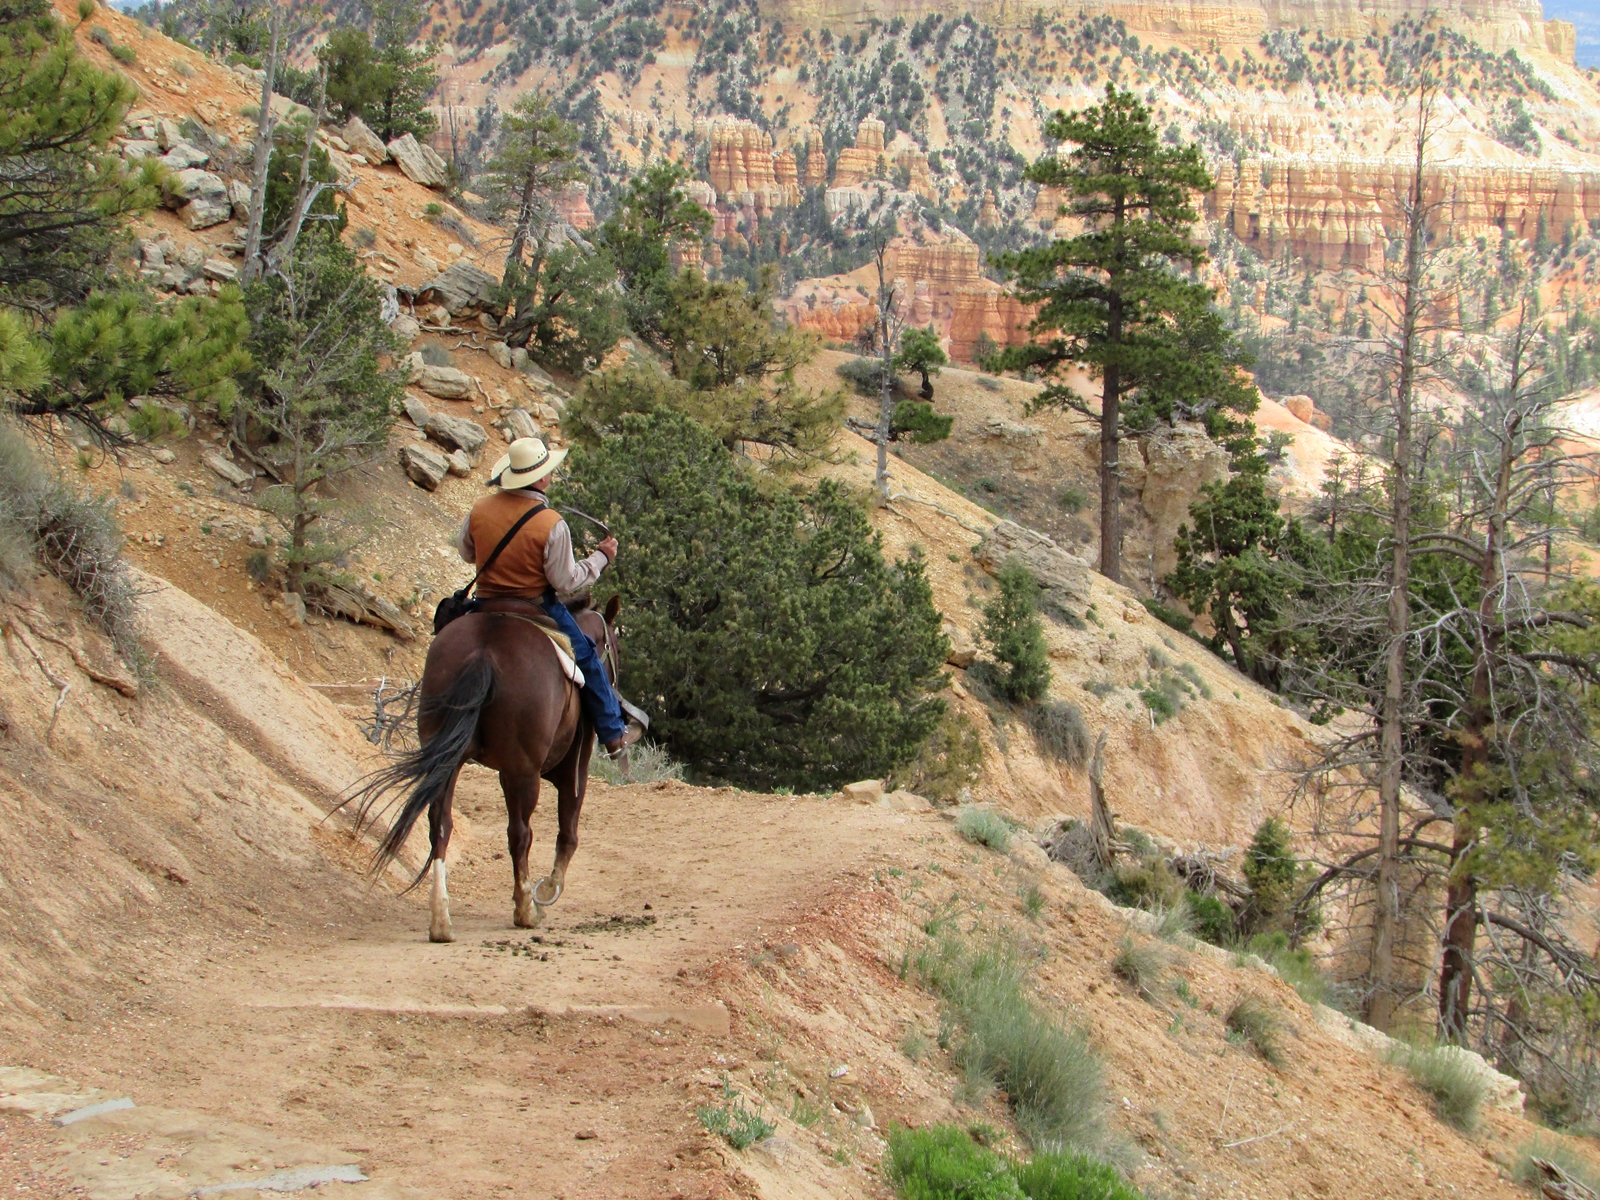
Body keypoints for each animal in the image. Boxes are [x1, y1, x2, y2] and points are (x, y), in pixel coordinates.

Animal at [348, 598, 617, 947]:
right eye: (614, 643)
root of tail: (484, 651)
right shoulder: (573, 767)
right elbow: (568, 832)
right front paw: (548, 889)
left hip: (449, 761)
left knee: (440, 825)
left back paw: (441, 921)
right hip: (523, 771)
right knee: (520, 834)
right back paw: (525, 910)